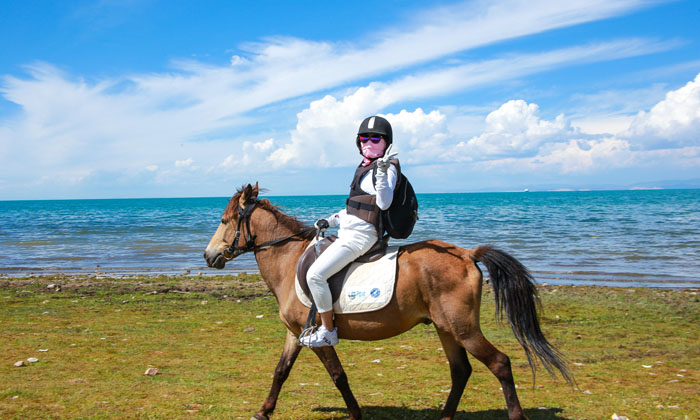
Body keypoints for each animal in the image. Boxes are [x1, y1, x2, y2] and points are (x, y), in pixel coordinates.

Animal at [204, 184, 576, 420]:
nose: (208, 256)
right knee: (461, 371)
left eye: (223, 221)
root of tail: (467, 253)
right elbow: (281, 371)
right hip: (445, 328)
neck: (289, 259)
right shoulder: (296, 333)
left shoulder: (318, 335)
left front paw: (356, 414)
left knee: (499, 363)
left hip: (463, 328)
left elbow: (338, 375)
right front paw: (263, 411)